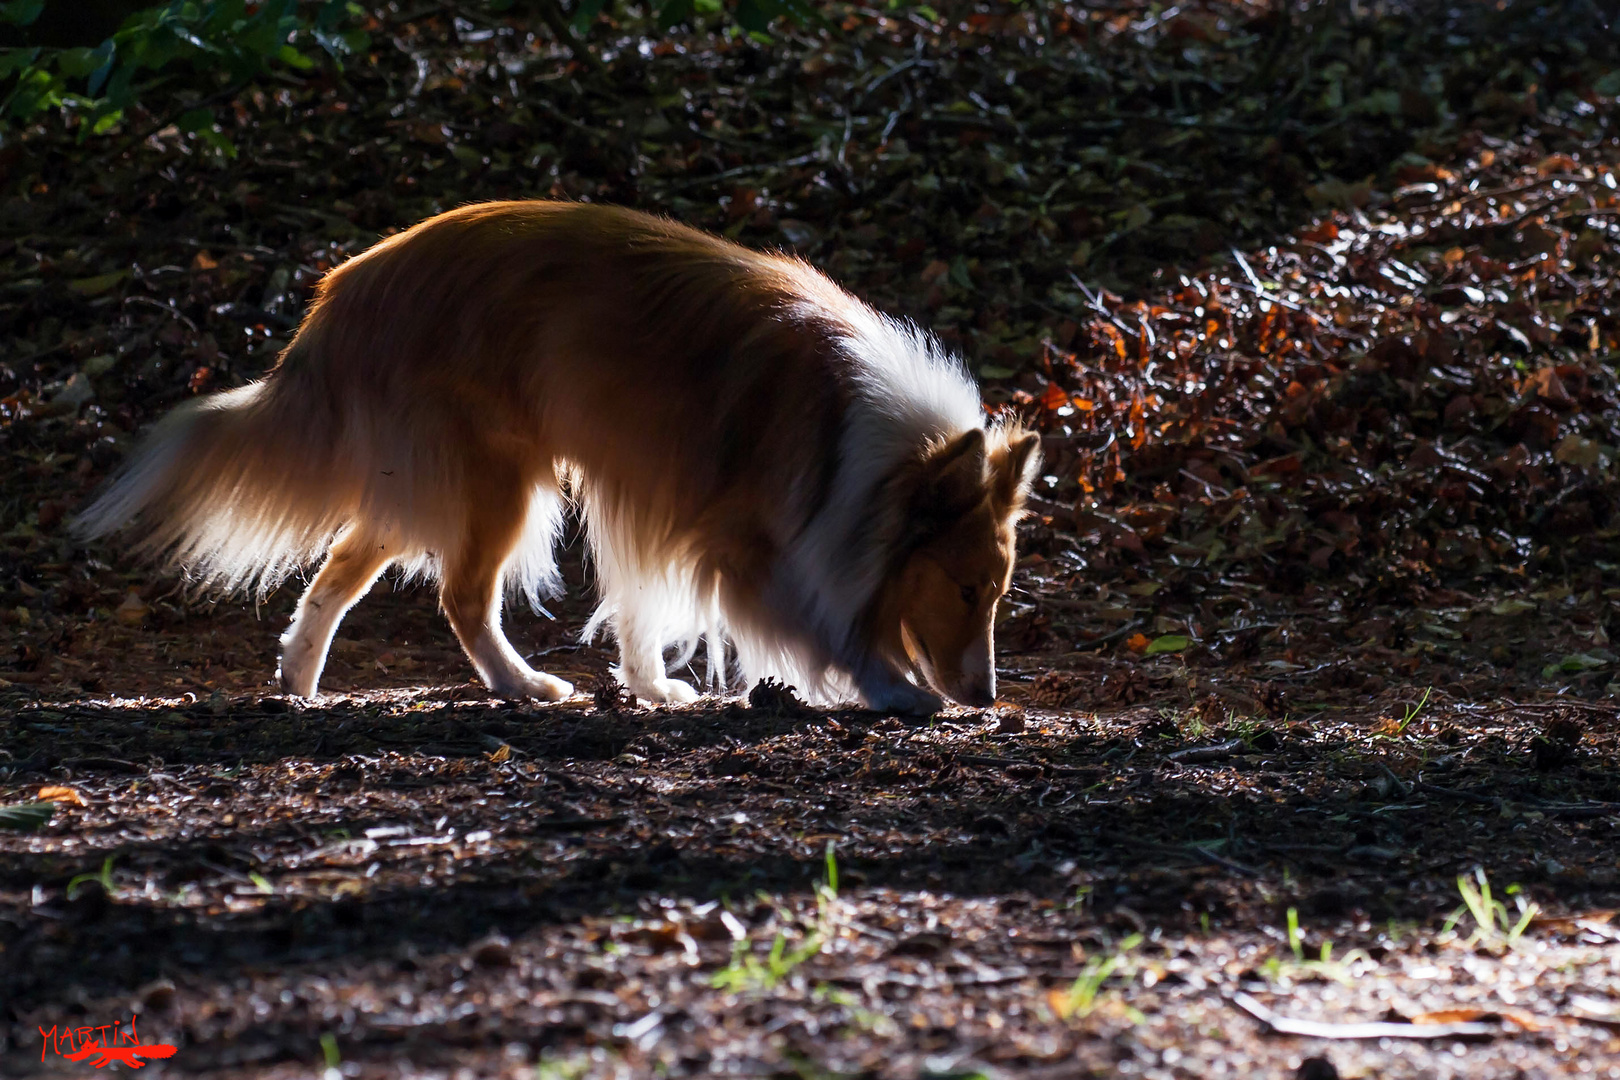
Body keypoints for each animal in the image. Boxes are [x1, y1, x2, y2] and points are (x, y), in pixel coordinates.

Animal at [72, 201, 1036, 712]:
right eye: (964, 590)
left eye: (996, 593)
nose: (987, 698)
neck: (863, 451)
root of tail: (343, 290)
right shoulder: (742, 541)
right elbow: (821, 624)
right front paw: (891, 688)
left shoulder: (653, 501)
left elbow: (643, 608)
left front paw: (651, 687)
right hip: (498, 482)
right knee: (461, 597)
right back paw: (521, 684)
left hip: (421, 483)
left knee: (338, 571)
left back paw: (299, 680)